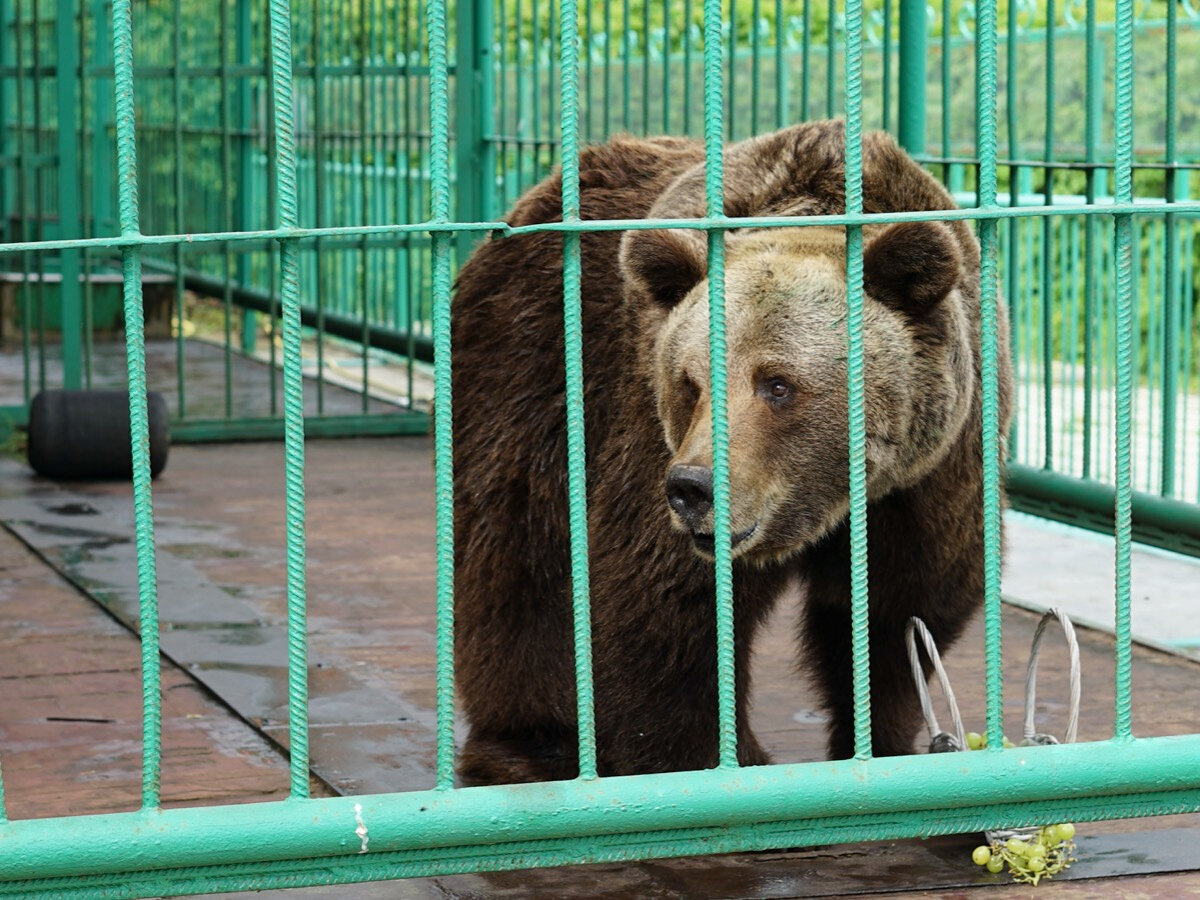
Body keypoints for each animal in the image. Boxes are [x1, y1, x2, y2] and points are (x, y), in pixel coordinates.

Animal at [451, 121, 1012, 787]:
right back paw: (530, 743)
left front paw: (888, 740)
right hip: (532, 366)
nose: (693, 487)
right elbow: (665, 611)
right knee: (519, 555)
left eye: (778, 384)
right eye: (690, 382)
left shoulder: (935, 473)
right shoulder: (648, 434)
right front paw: (712, 762)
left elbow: (902, 610)